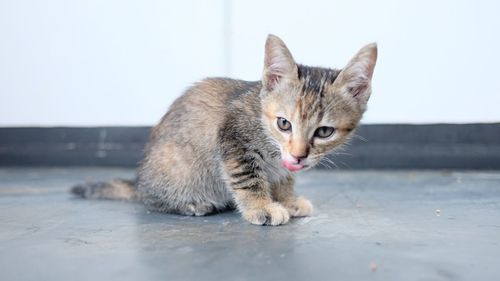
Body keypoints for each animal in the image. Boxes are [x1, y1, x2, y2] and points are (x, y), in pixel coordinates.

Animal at [72, 34, 376, 225]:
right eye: (284, 123)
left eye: (324, 132)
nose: (299, 155)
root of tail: (138, 180)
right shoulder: (233, 140)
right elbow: (248, 178)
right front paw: (262, 207)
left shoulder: (282, 163)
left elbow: (283, 177)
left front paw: (287, 199)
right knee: (149, 199)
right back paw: (191, 204)